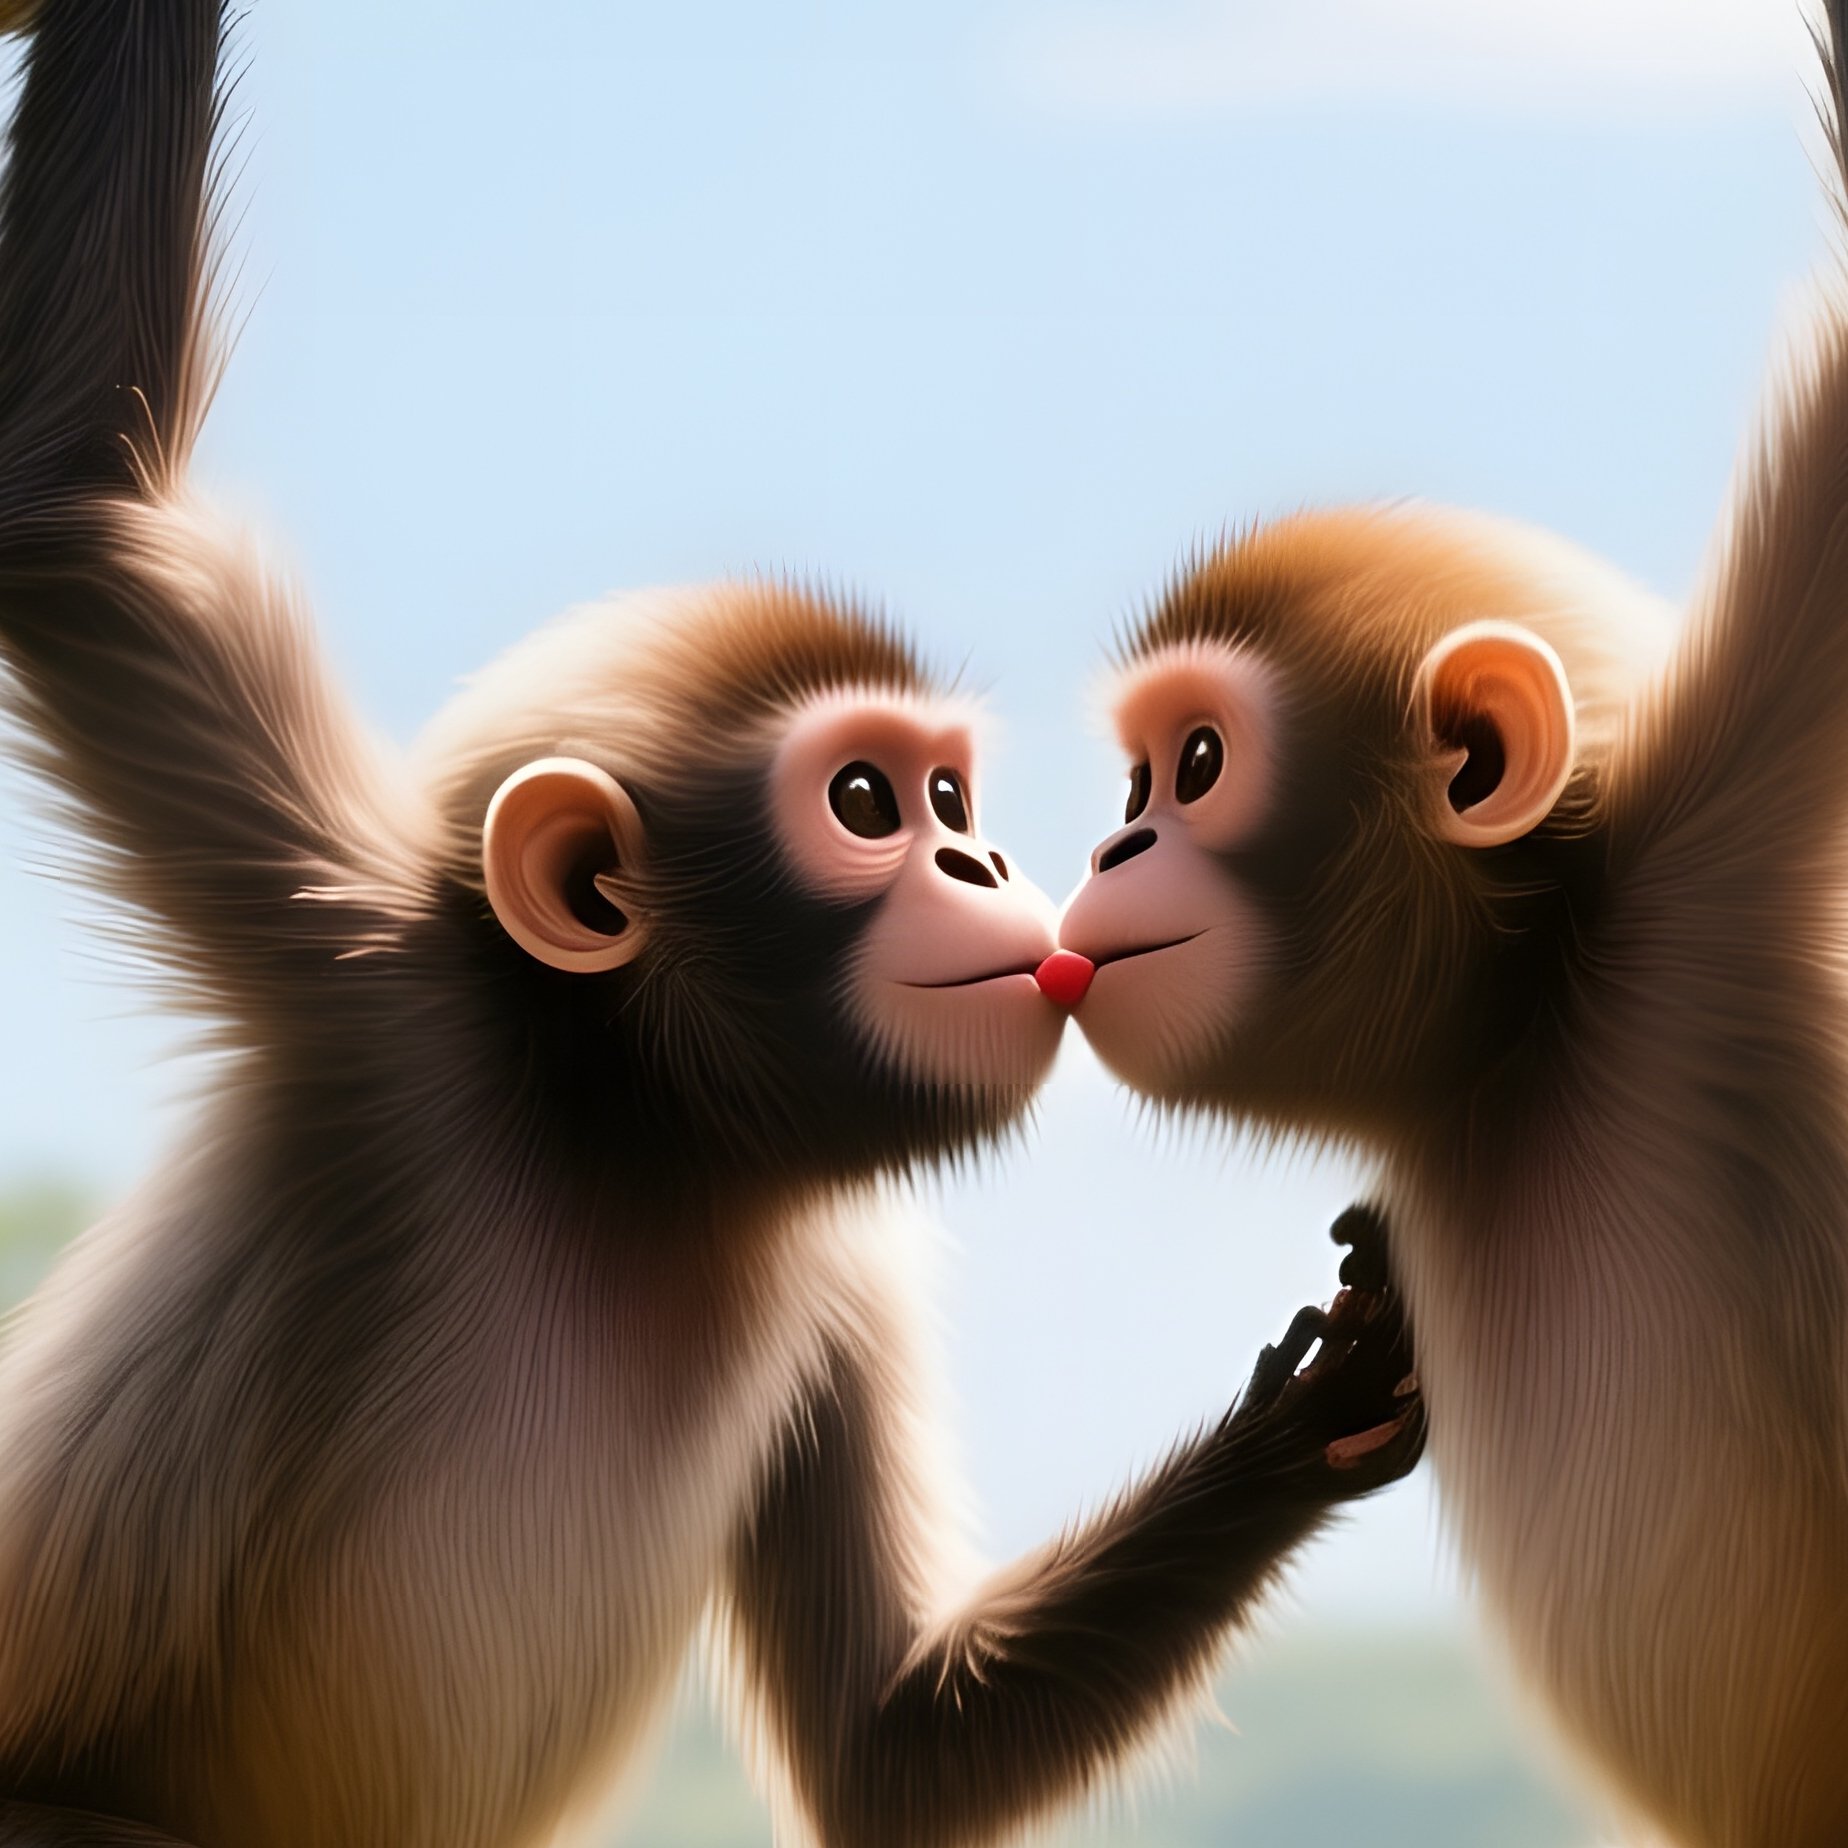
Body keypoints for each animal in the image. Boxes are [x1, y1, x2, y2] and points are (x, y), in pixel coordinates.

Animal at [0, 4, 1428, 1845]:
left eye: (953, 800)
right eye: (873, 804)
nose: (986, 868)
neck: (635, 1141)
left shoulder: (835, 1272)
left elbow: (899, 1745)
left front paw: (1335, 1394)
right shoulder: (381, 988)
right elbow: (73, 515)